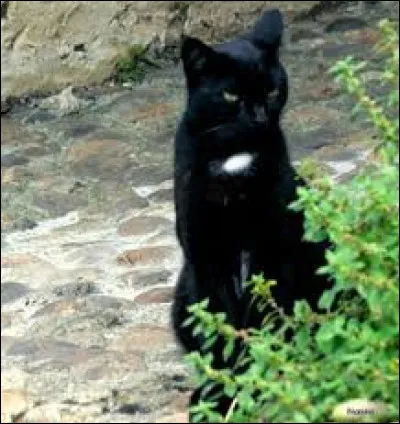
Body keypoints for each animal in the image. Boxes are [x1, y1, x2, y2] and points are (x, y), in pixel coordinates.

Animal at [172, 8, 332, 420]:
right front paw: (218, 395)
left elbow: (262, 322)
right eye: (231, 94)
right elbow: (220, 331)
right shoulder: (205, 257)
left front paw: (257, 380)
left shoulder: (271, 252)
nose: (259, 115)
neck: (234, 158)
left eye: (273, 91)